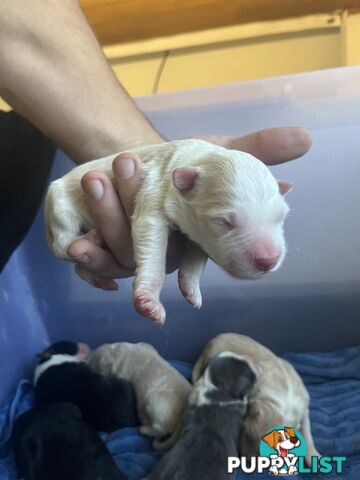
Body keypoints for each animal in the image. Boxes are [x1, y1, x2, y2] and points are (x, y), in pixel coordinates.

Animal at [193, 334, 320, 464]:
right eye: (246, 433)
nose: (246, 458)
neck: (283, 399)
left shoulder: (304, 410)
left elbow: (307, 433)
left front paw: (314, 455)